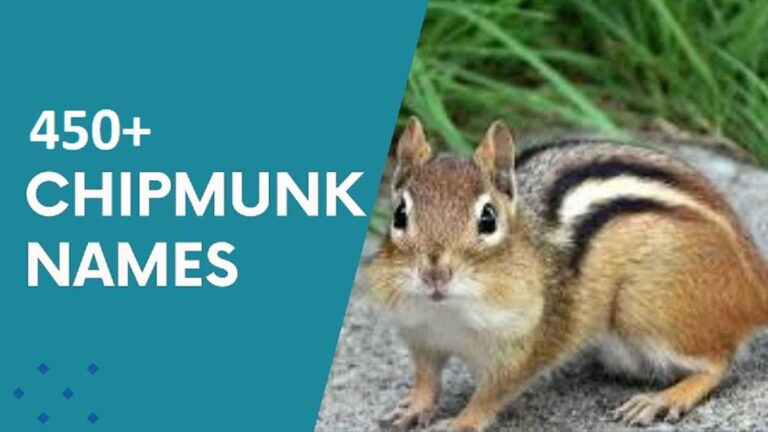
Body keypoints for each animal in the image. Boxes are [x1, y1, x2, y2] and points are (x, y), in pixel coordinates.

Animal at [366, 117, 768, 431]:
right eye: (399, 215)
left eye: (488, 218)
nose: (434, 273)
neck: (448, 313)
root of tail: (754, 277)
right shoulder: (420, 334)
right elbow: (426, 377)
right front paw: (414, 408)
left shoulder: (526, 345)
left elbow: (491, 394)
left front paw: (462, 421)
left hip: (645, 308)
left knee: (718, 362)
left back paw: (662, 399)